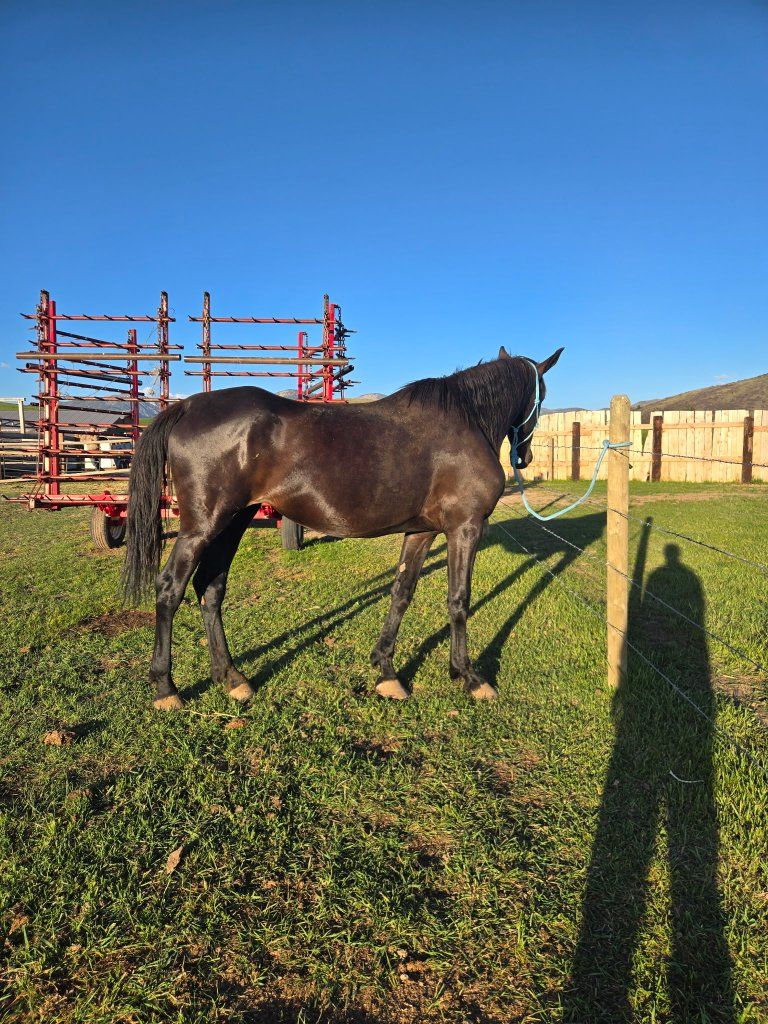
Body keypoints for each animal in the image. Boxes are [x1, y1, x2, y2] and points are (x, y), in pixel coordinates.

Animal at [122, 345, 564, 709]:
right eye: (542, 395)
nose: (524, 457)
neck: (466, 422)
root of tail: (188, 406)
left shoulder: (421, 531)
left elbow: (401, 594)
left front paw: (386, 671)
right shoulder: (465, 528)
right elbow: (459, 601)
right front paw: (469, 676)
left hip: (233, 521)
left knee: (210, 588)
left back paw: (231, 678)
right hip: (203, 527)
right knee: (170, 590)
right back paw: (166, 688)